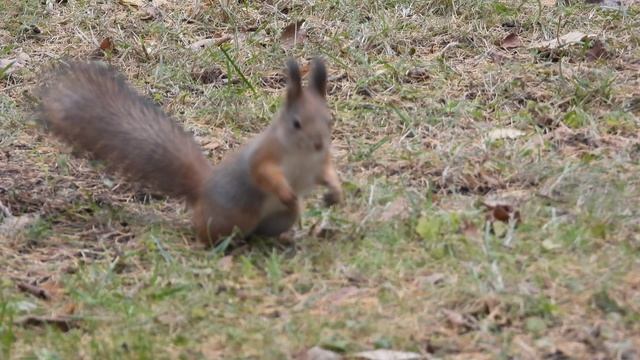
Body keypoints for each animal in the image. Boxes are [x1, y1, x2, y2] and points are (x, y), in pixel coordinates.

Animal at [37, 57, 342, 246]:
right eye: (296, 123)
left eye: (329, 120)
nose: (319, 143)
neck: (301, 155)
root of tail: (202, 191)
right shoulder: (265, 156)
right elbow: (264, 174)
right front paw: (286, 191)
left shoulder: (319, 163)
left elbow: (327, 173)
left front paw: (335, 193)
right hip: (230, 216)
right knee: (207, 231)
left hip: (279, 218)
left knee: (261, 232)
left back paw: (282, 238)